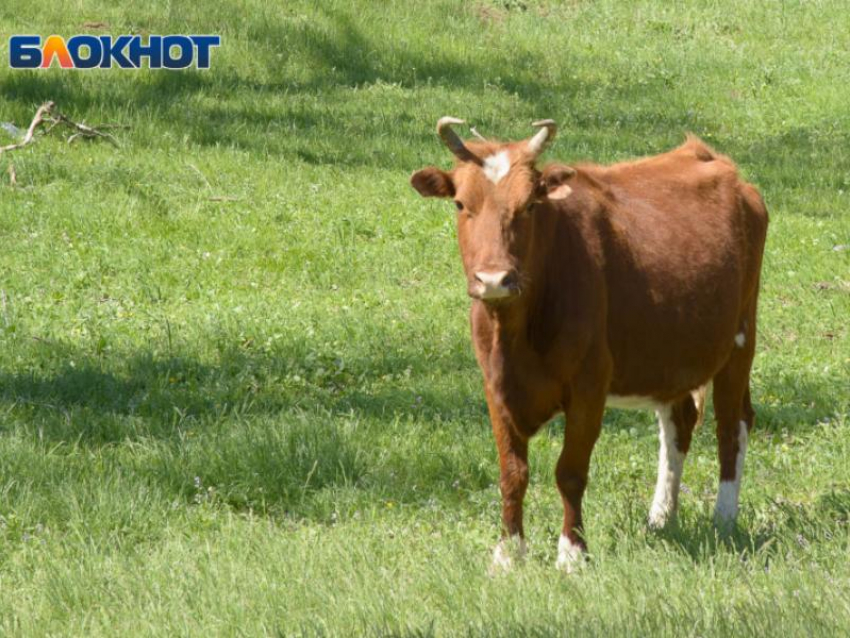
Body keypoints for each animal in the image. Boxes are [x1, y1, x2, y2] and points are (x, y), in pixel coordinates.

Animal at [410, 117, 768, 572]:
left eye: (530, 205)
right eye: (459, 204)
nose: (494, 279)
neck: (517, 334)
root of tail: (709, 157)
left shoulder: (589, 384)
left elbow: (570, 471)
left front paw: (571, 552)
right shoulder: (495, 385)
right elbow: (512, 473)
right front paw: (508, 553)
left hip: (740, 340)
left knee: (731, 425)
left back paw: (723, 518)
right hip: (671, 354)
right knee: (679, 423)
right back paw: (661, 517)